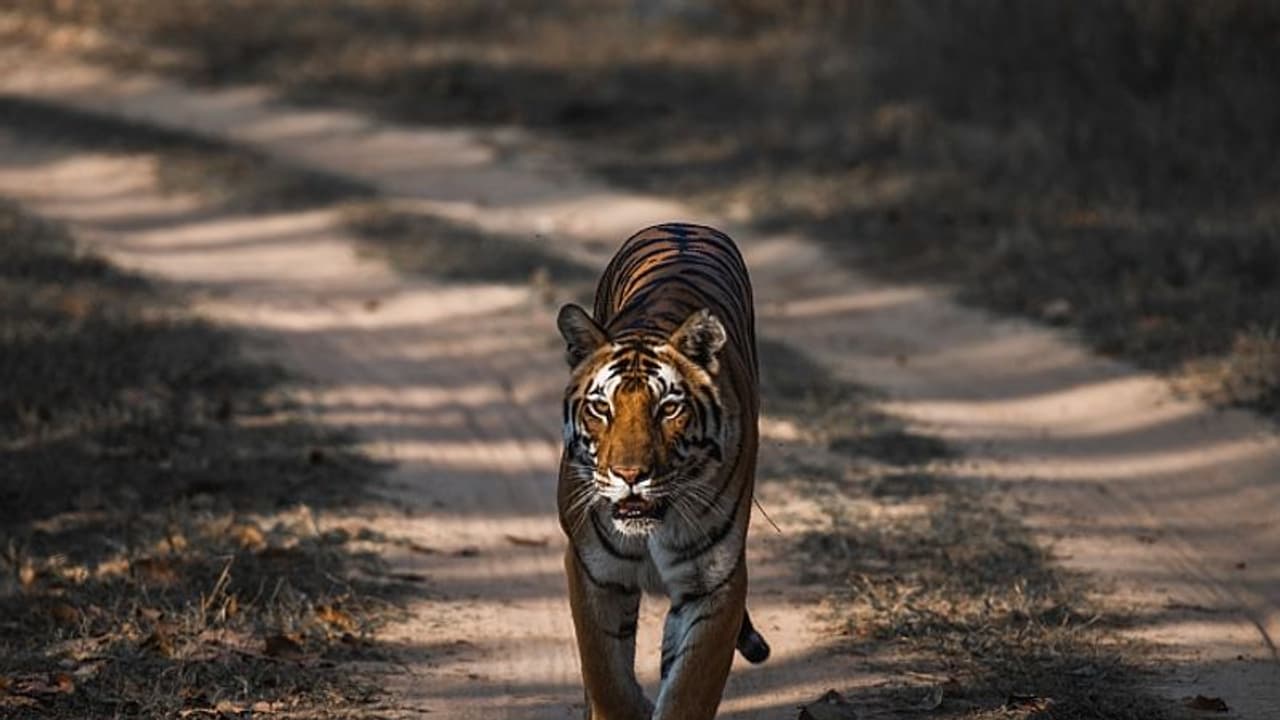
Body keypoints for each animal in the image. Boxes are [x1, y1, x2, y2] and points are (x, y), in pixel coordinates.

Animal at [556, 222, 769, 720]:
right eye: (601, 408)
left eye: (669, 409)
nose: (629, 474)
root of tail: (682, 225)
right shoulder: (595, 572)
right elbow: (608, 680)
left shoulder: (714, 582)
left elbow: (689, 689)